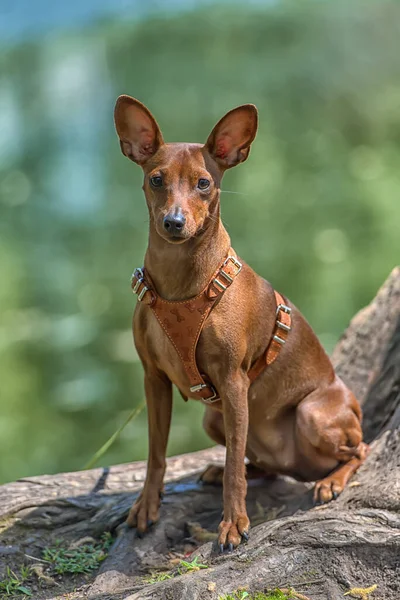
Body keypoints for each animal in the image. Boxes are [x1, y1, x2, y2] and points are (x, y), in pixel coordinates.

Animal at [113, 96, 368, 552]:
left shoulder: (233, 382)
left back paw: (331, 482)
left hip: (312, 413)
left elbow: (235, 466)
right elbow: (156, 454)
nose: (174, 223)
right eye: (156, 180)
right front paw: (146, 506)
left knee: (360, 450)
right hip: (213, 419)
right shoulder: (154, 379)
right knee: (257, 460)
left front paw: (233, 524)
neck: (180, 285)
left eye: (203, 184)